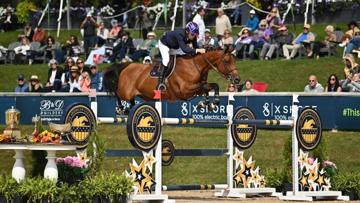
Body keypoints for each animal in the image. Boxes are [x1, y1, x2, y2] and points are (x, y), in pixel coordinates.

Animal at [102, 46, 240, 111]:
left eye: (234, 60)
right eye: (226, 61)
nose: (237, 79)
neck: (195, 65)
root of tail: (126, 66)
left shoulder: (198, 87)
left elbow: (211, 87)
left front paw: (209, 104)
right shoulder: (185, 90)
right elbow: (208, 87)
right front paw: (210, 103)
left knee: (130, 100)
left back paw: (129, 108)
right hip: (125, 91)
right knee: (117, 93)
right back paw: (121, 108)